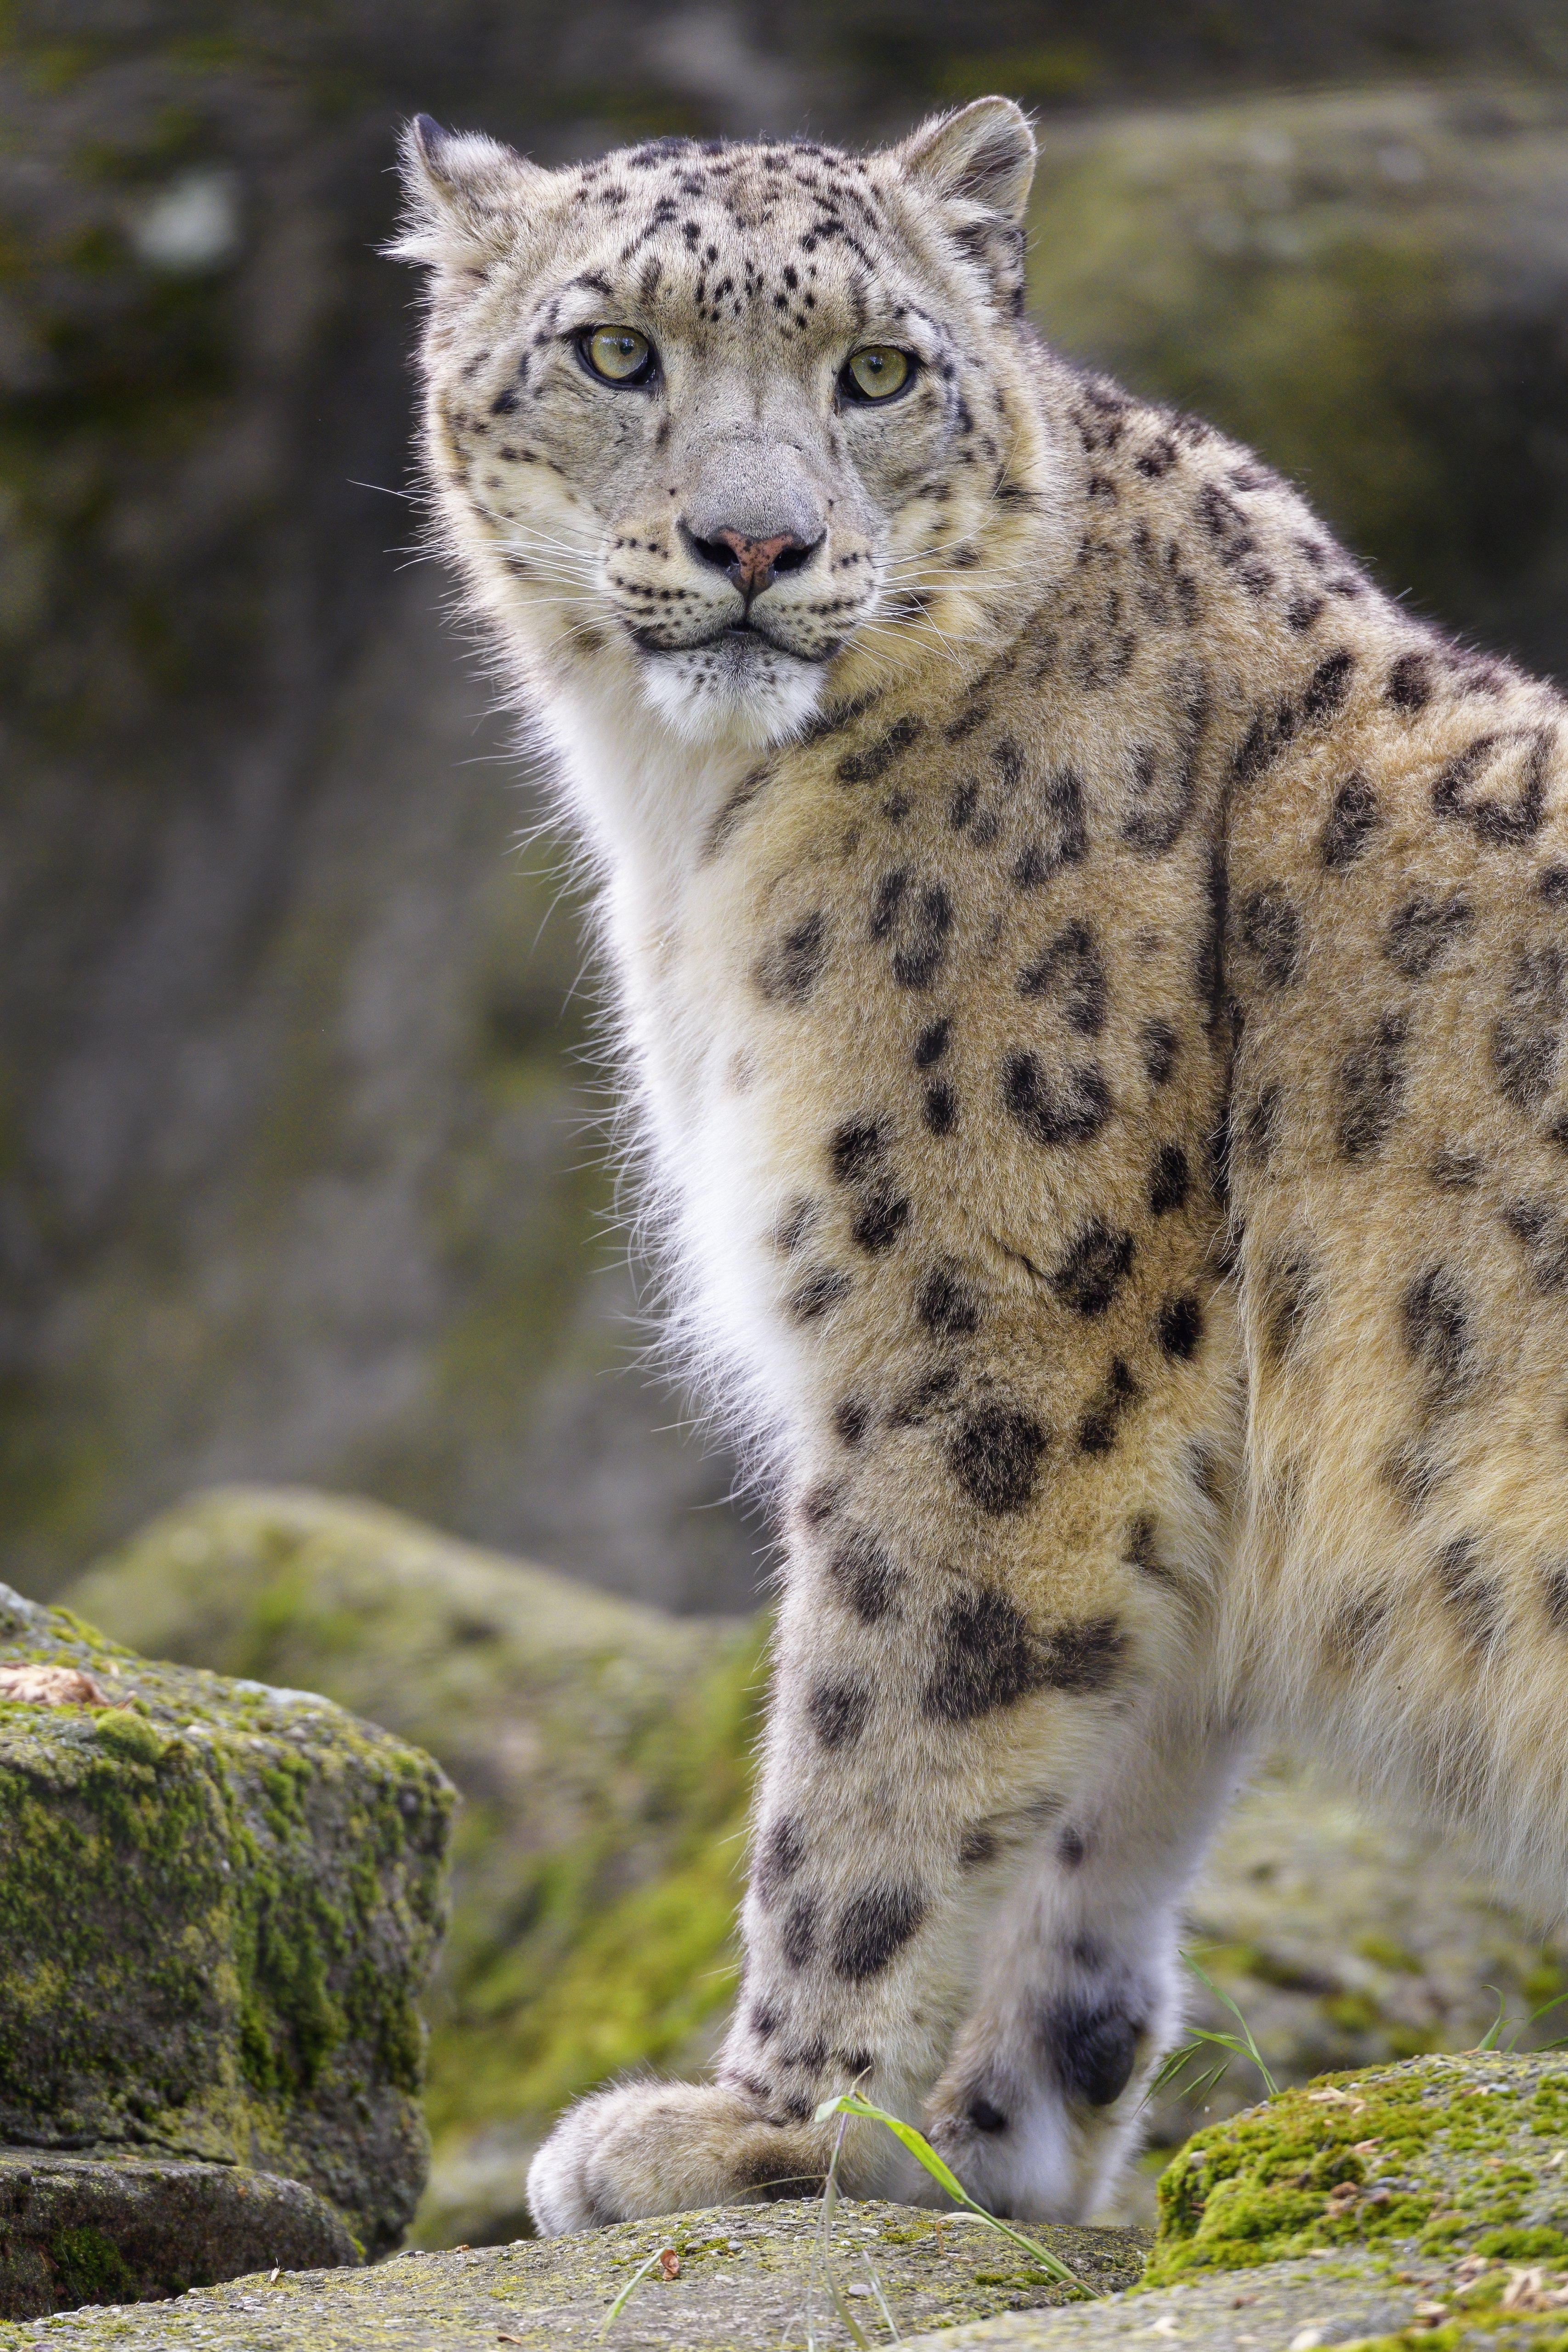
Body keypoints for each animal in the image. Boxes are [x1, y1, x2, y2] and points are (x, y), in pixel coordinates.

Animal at [392, 101, 1568, 2229]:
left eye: (874, 370)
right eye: (615, 351)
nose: (755, 543)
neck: (694, 840)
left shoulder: (983, 1333)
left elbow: (879, 1745)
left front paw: (751, 2127)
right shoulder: (1161, 1457)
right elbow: (1096, 1817)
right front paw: (989, 2127)